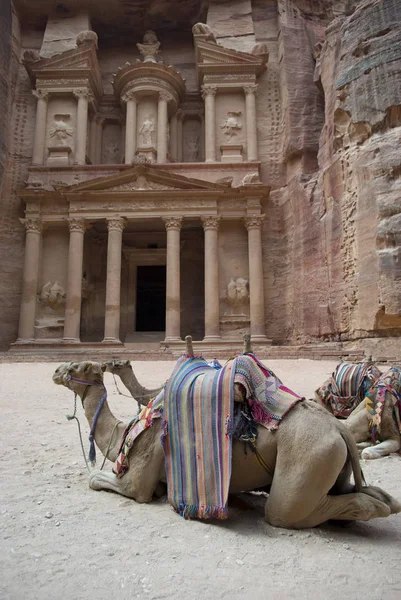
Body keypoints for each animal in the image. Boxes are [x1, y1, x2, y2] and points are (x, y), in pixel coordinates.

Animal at [54, 344, 400, 528]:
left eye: (80, 366)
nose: (57, 370)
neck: (124, 432)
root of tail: (337, 427)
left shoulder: (140, 473)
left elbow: (99, 480)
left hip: (310, 456)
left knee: (286, 511)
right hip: (335, 462)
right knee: (375, 495)